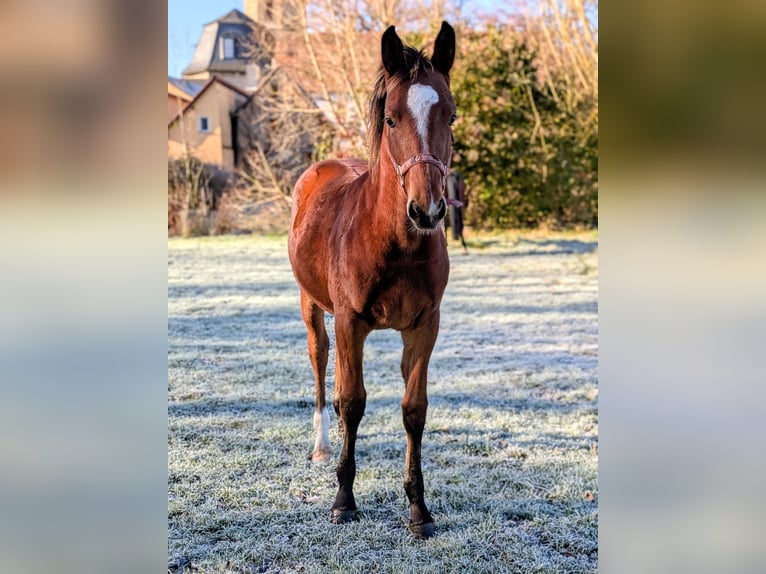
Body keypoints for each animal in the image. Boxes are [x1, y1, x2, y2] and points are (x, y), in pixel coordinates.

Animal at [288, 22, 456, 539]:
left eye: (452, 116)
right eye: (392, 119)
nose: (427, 211)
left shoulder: (424, 326)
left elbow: (413, 409)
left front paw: (418, 508)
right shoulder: (350, 321)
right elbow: (353, 401)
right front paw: (344, 500)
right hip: (313, 308)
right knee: (323, 367)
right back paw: (323, 446)